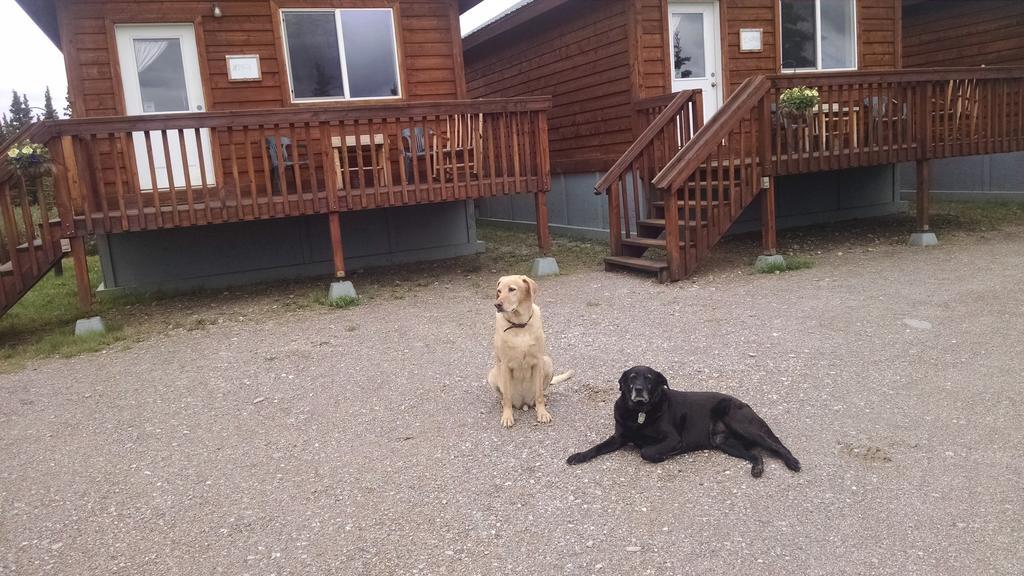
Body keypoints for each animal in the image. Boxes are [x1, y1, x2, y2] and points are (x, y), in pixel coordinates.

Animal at [485, 272, 573, 426]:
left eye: (512, 289)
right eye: (499, 291)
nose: (497, 305)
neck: (519, 325)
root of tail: (523, 404)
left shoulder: (538, 361)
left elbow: (539, 395)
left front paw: (542, 413)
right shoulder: (505, 364)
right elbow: (507, 397)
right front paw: (507, 416)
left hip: (547, 362)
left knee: (541, 394)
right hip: (493, 374)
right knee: (505, 398)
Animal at [569, 362, 798, 475]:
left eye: (649, 378)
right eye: (632, 377)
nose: (638, 389)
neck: (640, 413)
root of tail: (745, 404)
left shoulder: (672, 438)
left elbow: (646, 451)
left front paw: (663, 455)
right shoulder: (618, 438)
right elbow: (596, 447)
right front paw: (579, 455)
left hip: (742, 424)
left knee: (777, 445)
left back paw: (792, 461)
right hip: (724, 442)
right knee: (757, 455)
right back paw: (757, 467)